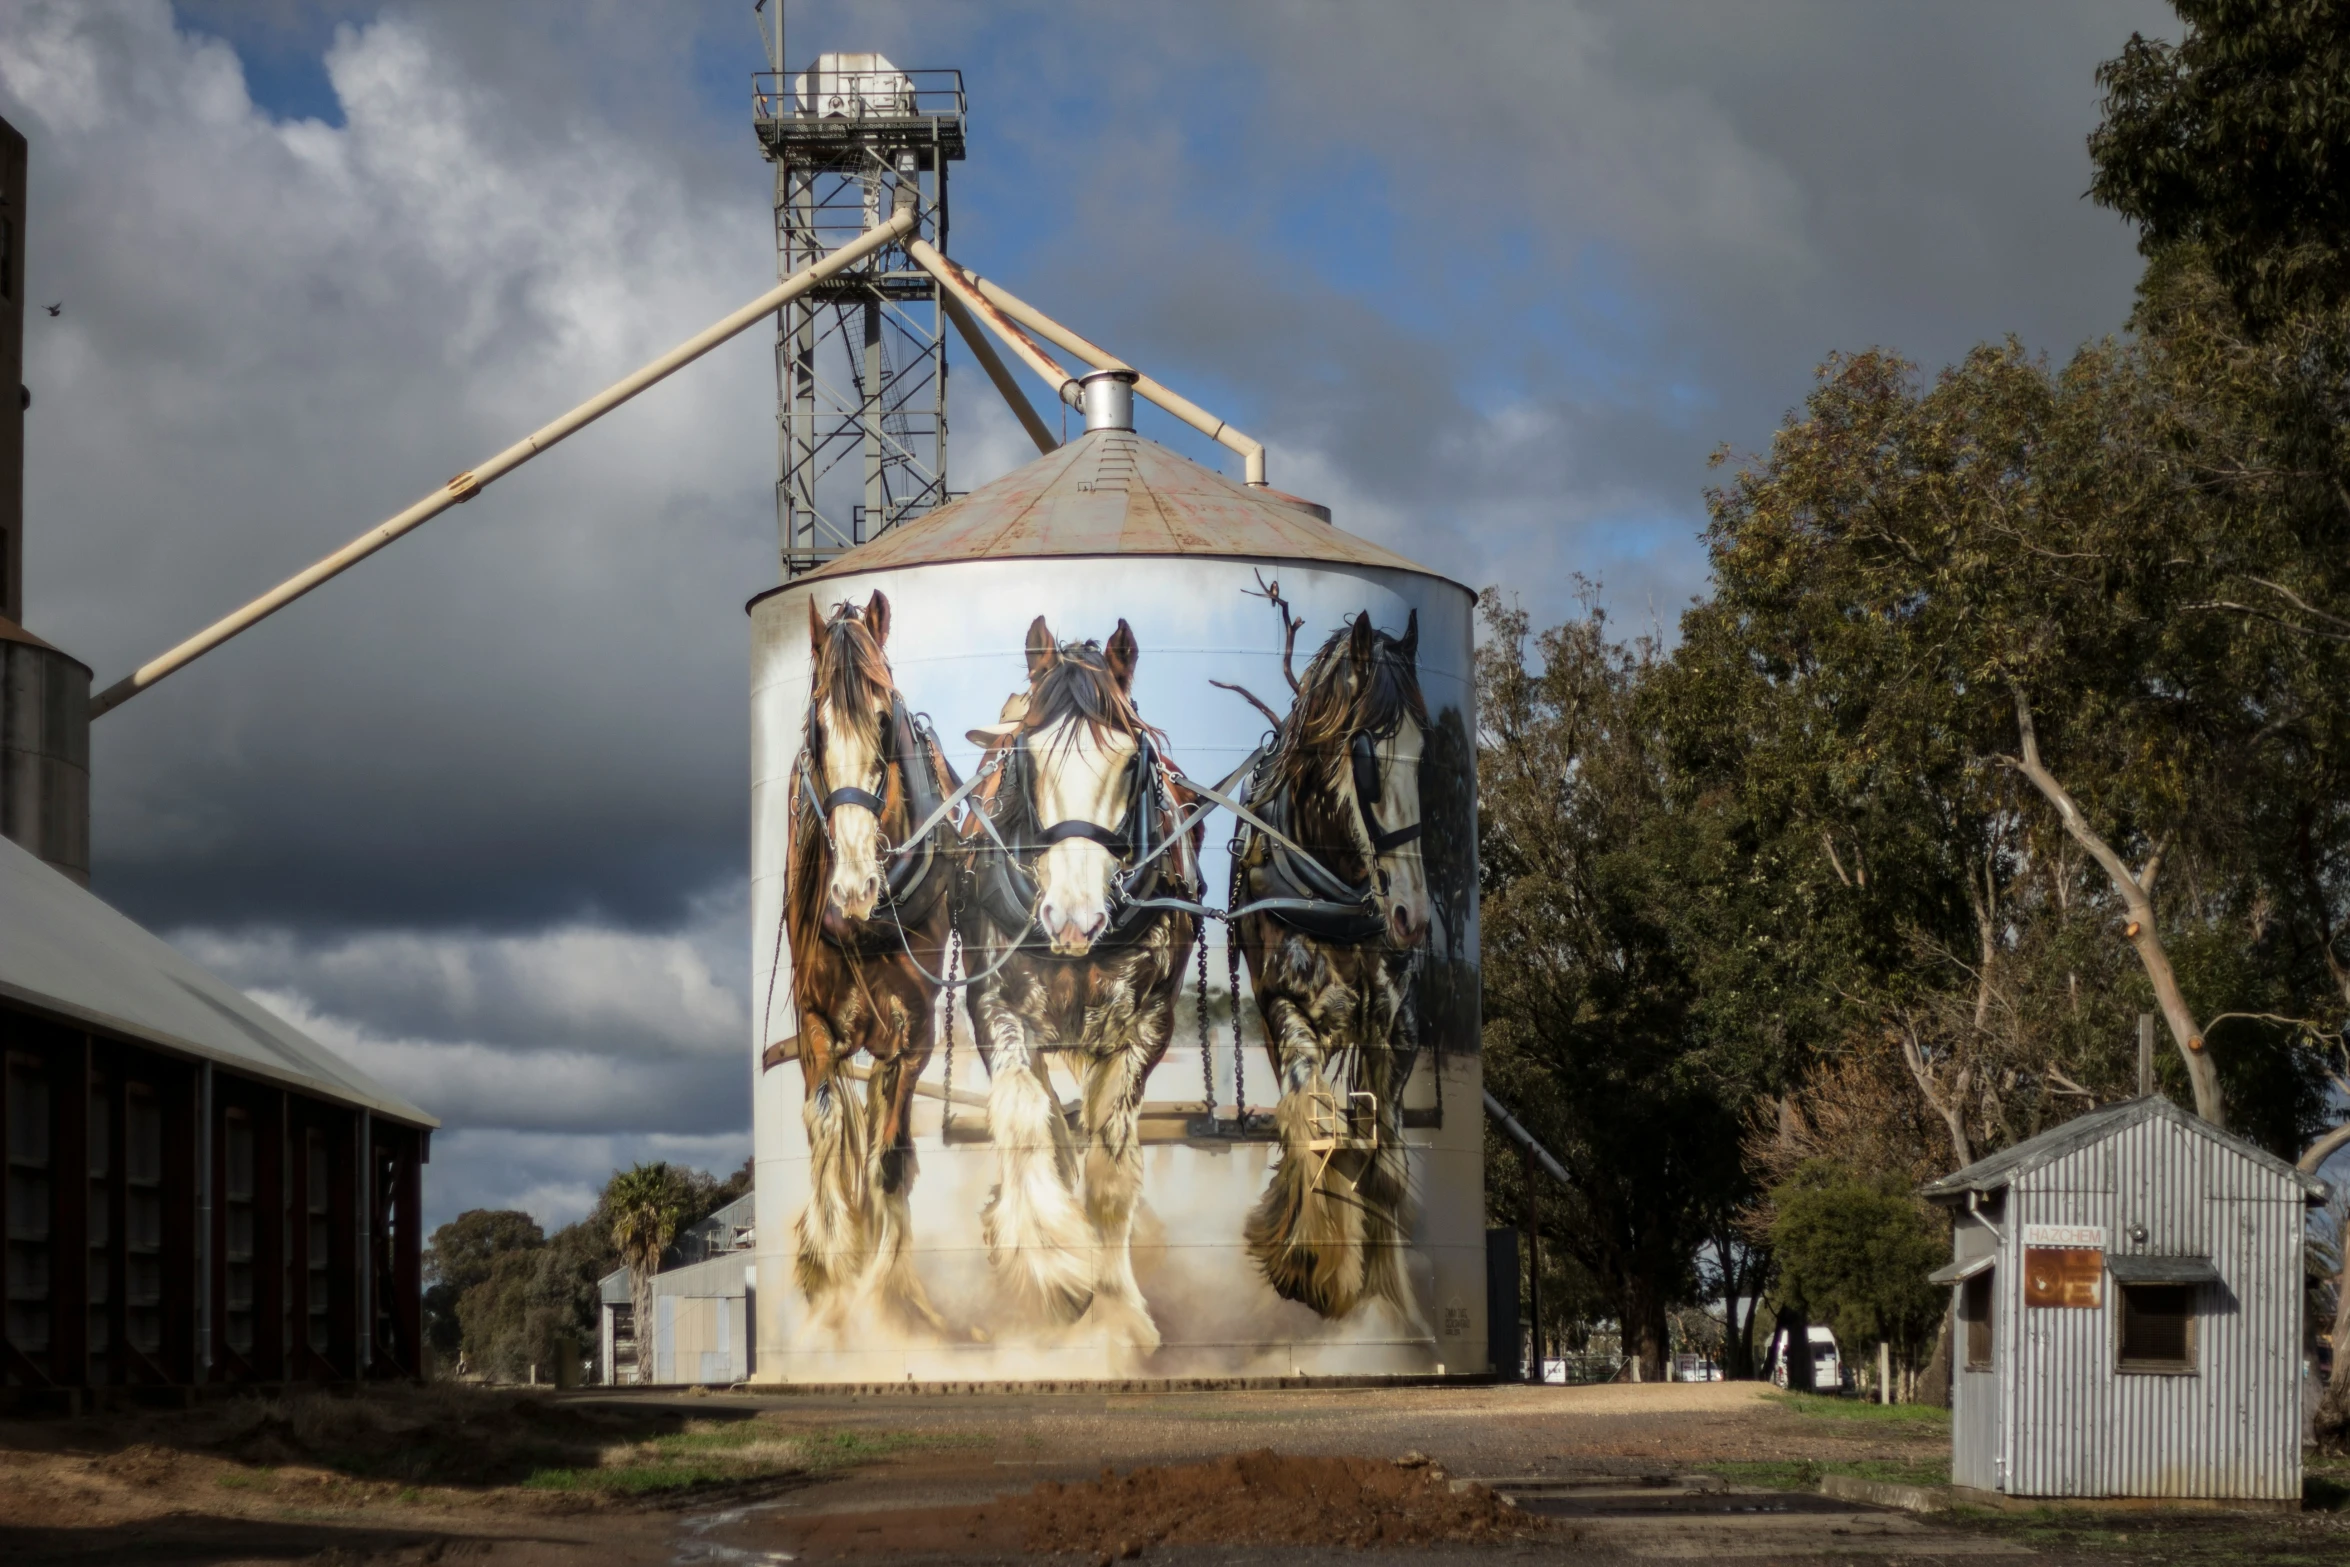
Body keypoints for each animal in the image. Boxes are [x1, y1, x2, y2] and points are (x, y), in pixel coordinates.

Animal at [963, 620, 1203, 1353]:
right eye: (1027, 756)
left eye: (1130, 760)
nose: (1074, 918)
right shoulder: (995, 1010)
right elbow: (1024, 1122)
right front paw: (1053, 1264)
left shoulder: (1144, 1027)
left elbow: (1112, 1169)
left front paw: (1118, 1310)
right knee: (1045, 1118)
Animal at [1231, 610, 1428, 1334]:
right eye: (1366, 756)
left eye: (1428, 748)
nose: (1412, 915)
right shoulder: (1285, 1007)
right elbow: (1312, 1126)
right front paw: (1310, 1262)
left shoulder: (1396, 1023)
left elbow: (1386, 1164)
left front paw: (1395, 1298)